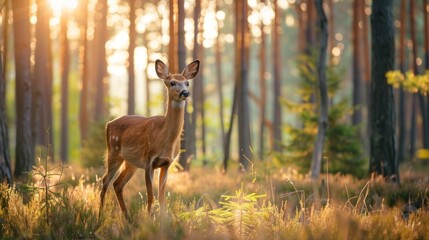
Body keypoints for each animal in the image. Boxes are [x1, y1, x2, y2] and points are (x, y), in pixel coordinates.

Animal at [99, 59, 200, 218]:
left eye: (187, 82)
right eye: (172, 82)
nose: (185, 92)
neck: (166, 140)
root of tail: (108, 124)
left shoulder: (167, 164)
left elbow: (162, 196)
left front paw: (163, 219)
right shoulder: (149, 160)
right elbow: (150, 196)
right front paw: (148, 219)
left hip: (131, 162)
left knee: (117, 184)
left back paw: (127, 217)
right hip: (113, 152)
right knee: (105, 181)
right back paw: (100, 216)